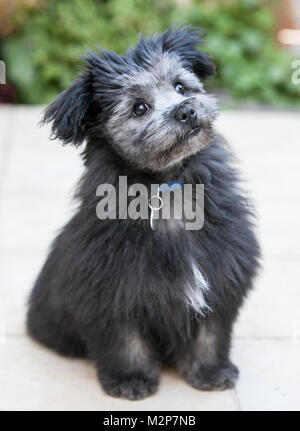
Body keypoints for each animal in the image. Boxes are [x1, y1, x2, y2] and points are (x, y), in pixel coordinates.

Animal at [27, 27, 258, 402]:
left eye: (180, 86)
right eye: (139, 108)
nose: (186, 111)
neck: (167, 187)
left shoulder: (220, 276)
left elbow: (210, 334)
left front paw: (210, 372)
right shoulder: (110, 292)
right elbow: (125, 342)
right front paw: (131, 379)